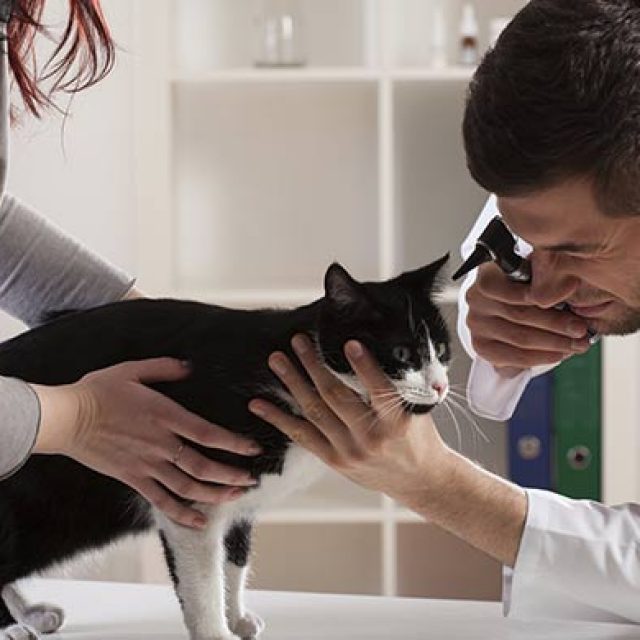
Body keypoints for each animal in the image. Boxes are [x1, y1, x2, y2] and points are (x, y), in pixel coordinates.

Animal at [0, 254, 451, 640]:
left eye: (443, 351)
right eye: (402, 353)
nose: (441, 386)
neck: (284, 370)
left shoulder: (240, 499)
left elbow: (233, 561)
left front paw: (236, 617)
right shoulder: (188, 496)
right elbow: (203, 581)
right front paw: (216, 631)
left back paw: (30, 614)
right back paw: (13, 625)